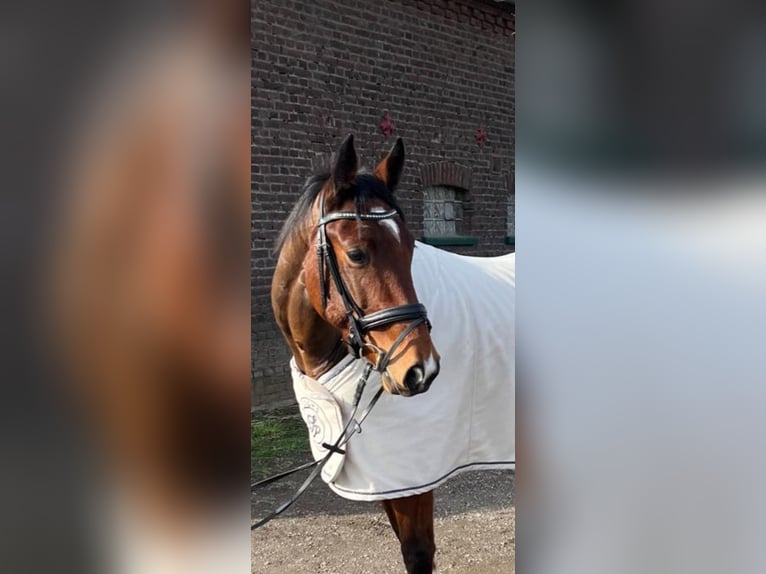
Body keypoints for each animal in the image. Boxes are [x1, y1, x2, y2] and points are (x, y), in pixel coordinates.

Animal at [270, 134, 515, 573]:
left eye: (410, 249)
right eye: (356, 254)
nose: (421, 370)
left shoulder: (413, 479)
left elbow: (418, 552)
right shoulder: (384, 482)